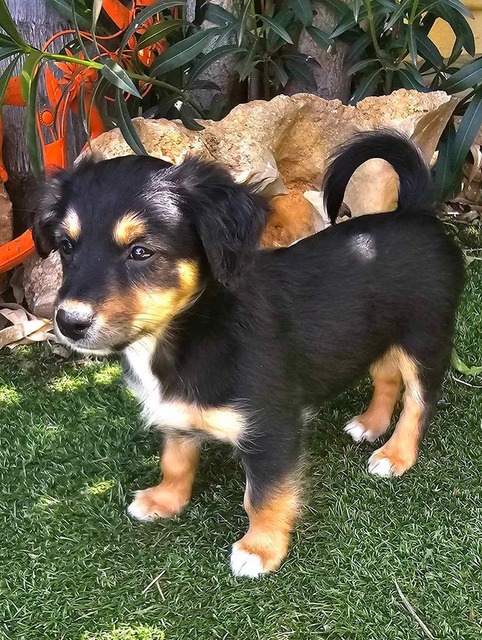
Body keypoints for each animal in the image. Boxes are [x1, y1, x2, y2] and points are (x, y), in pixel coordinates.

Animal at [32, 130, 465, 578]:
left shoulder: (272, 428)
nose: (68, 322)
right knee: (386, 376)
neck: (193, 328)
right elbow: (175, 460)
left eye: (140, 251)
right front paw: (164, 500)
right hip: (379, 333)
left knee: (419, 401)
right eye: (66, 246)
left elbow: (262, 495)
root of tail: (414, 211)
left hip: (425, 337)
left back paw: (396, 455)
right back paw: (370, 423)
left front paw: (260, 549)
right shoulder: (176, 413)